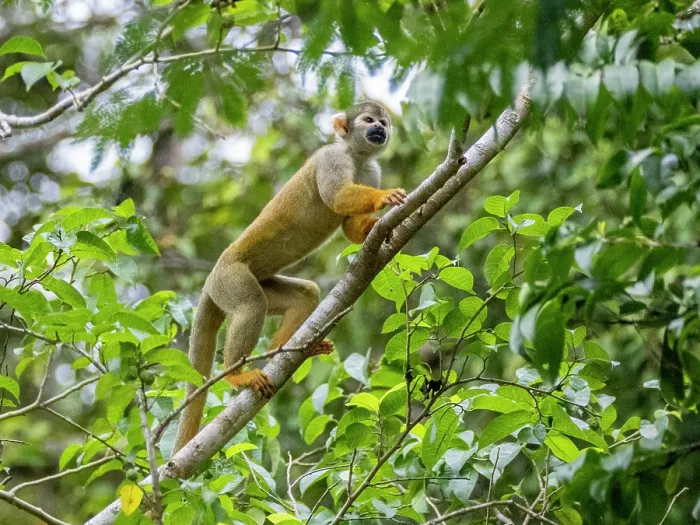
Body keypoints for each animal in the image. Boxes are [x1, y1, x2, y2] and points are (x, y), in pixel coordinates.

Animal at [173, 102, 407, 452]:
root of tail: (210, 280)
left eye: (383, 122)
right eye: (368, 120)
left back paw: (288, 350)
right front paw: (384, 197)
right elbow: (337, 196)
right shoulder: (330, 158)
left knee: (305, 294)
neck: (357, 156)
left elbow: (349, 226)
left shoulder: (371, 170)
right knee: (251, 304)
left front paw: (370, 228)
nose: (379, 129)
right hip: (229, 279)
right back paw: (235, 374)